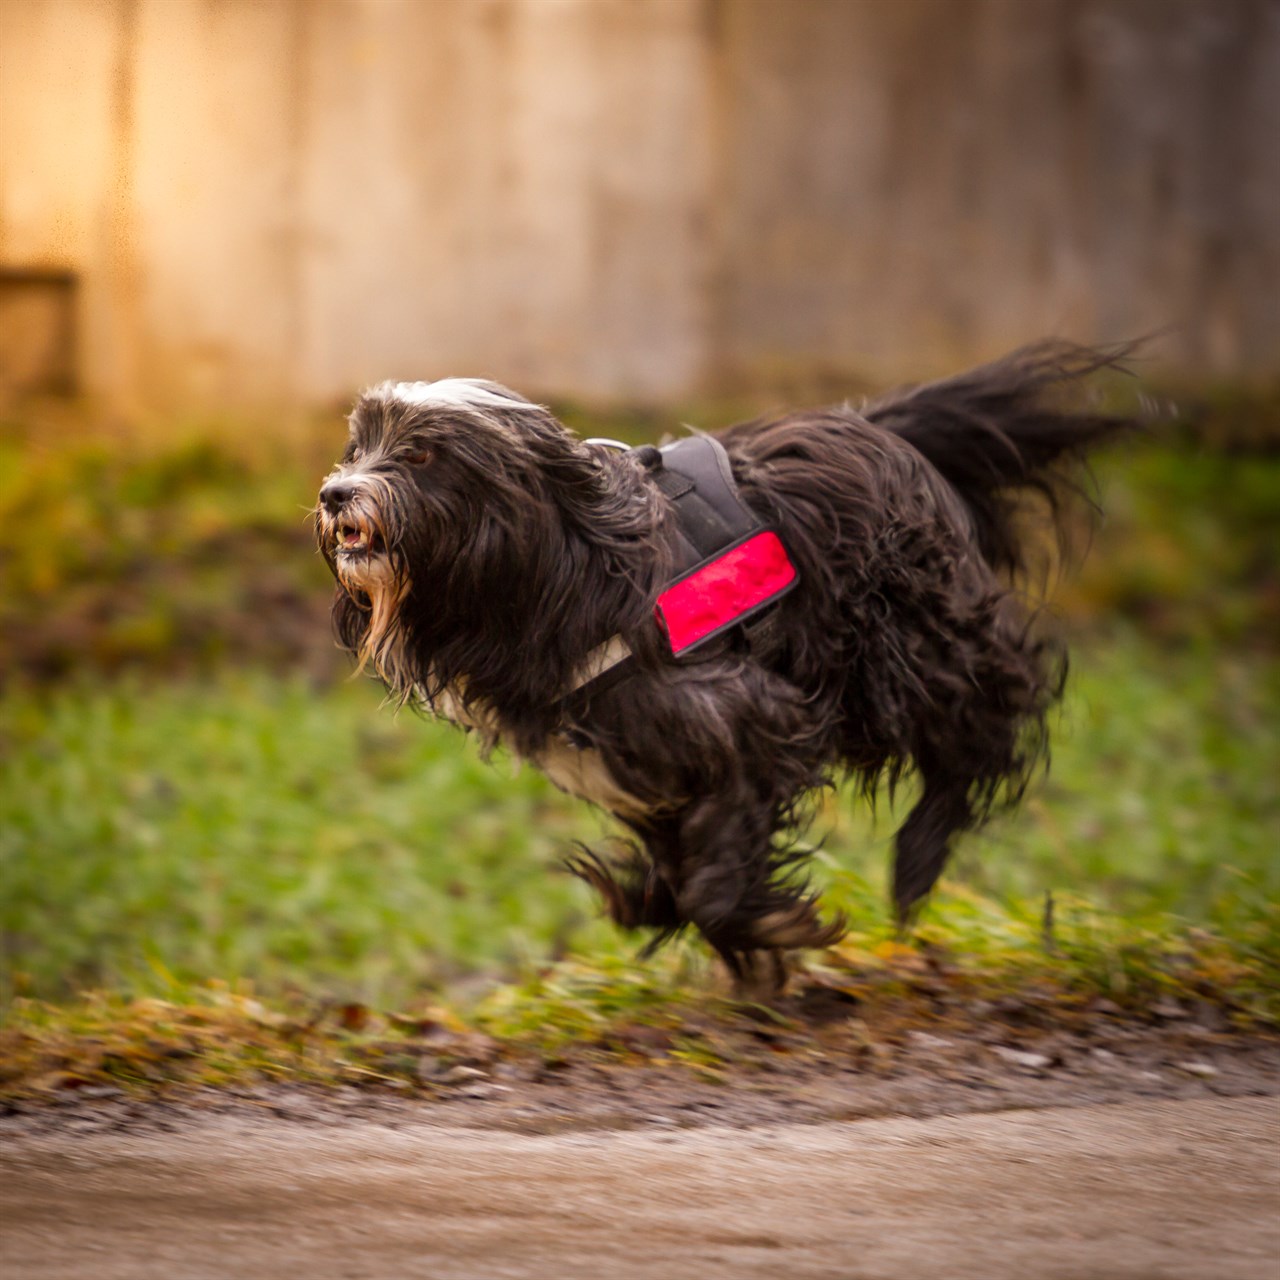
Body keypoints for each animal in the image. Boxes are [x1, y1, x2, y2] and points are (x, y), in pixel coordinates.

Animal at [317, 343, 1131, 988]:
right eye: (358, 447)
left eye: (422, 454)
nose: (333, 493)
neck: (565, 564)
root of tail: (875, 423)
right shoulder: (648, 773)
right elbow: (681, 862)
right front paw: (661, 904)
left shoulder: (745, 717)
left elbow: (715, 871)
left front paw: (761, 928)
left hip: (911, 653)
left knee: (991, 720)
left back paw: (917, 861)